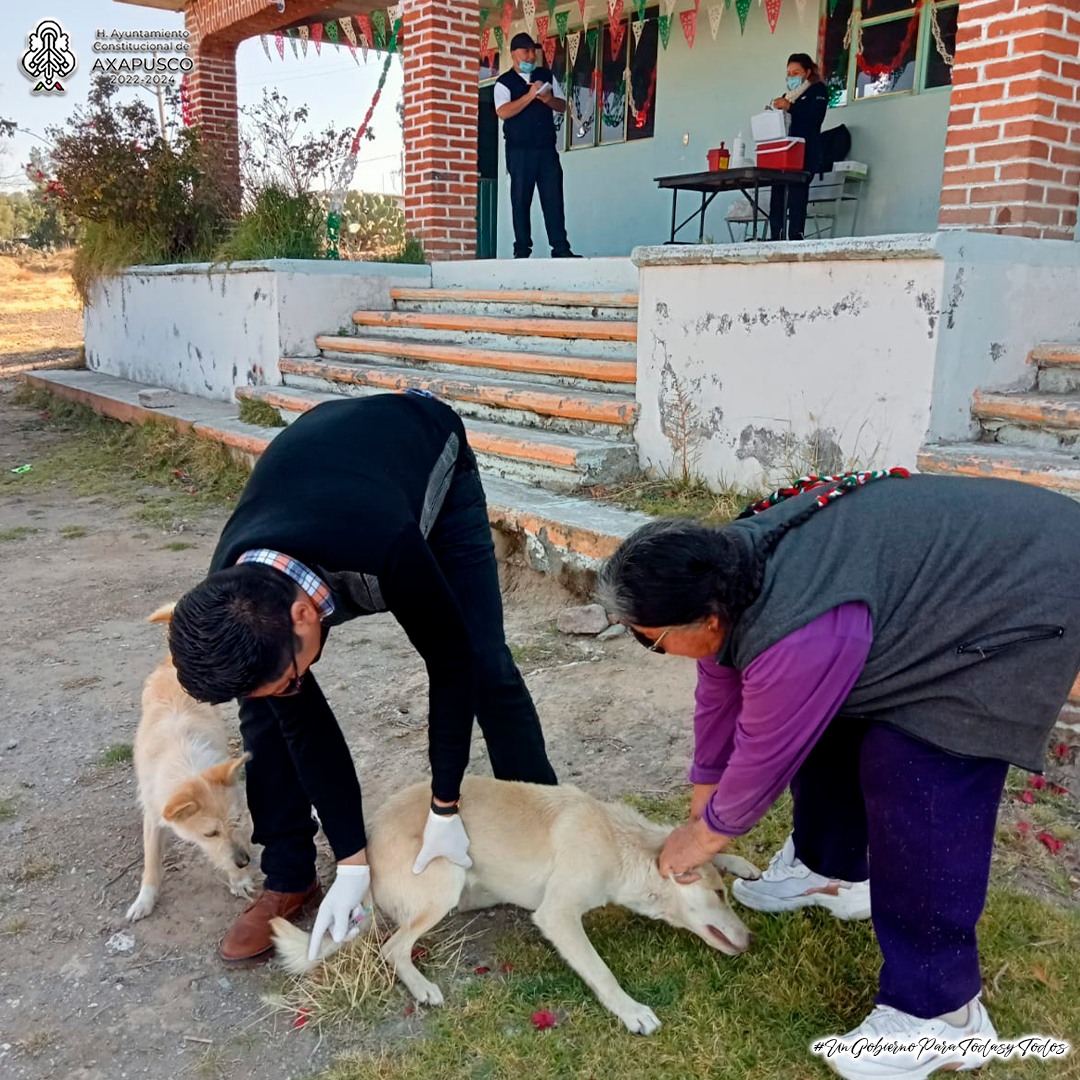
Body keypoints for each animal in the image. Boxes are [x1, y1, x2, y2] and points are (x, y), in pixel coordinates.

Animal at [124, 604, 254, 924]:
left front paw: (239, 879)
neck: (185, 765)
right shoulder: (153, 815)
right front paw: (145, 899)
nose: (244, 861)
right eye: (209, 833)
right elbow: (151, 862)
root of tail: (175, 661)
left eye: (237, 819)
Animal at [272, 773, 760, 1032]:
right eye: (717, 896)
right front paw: (631, 1011)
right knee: (393, 947)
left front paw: (741, 863)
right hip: (444, 877)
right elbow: (601, 972)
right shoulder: (558, 915)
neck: (618, 841)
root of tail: (366, 848)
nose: (752, 939)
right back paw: (422, 986)